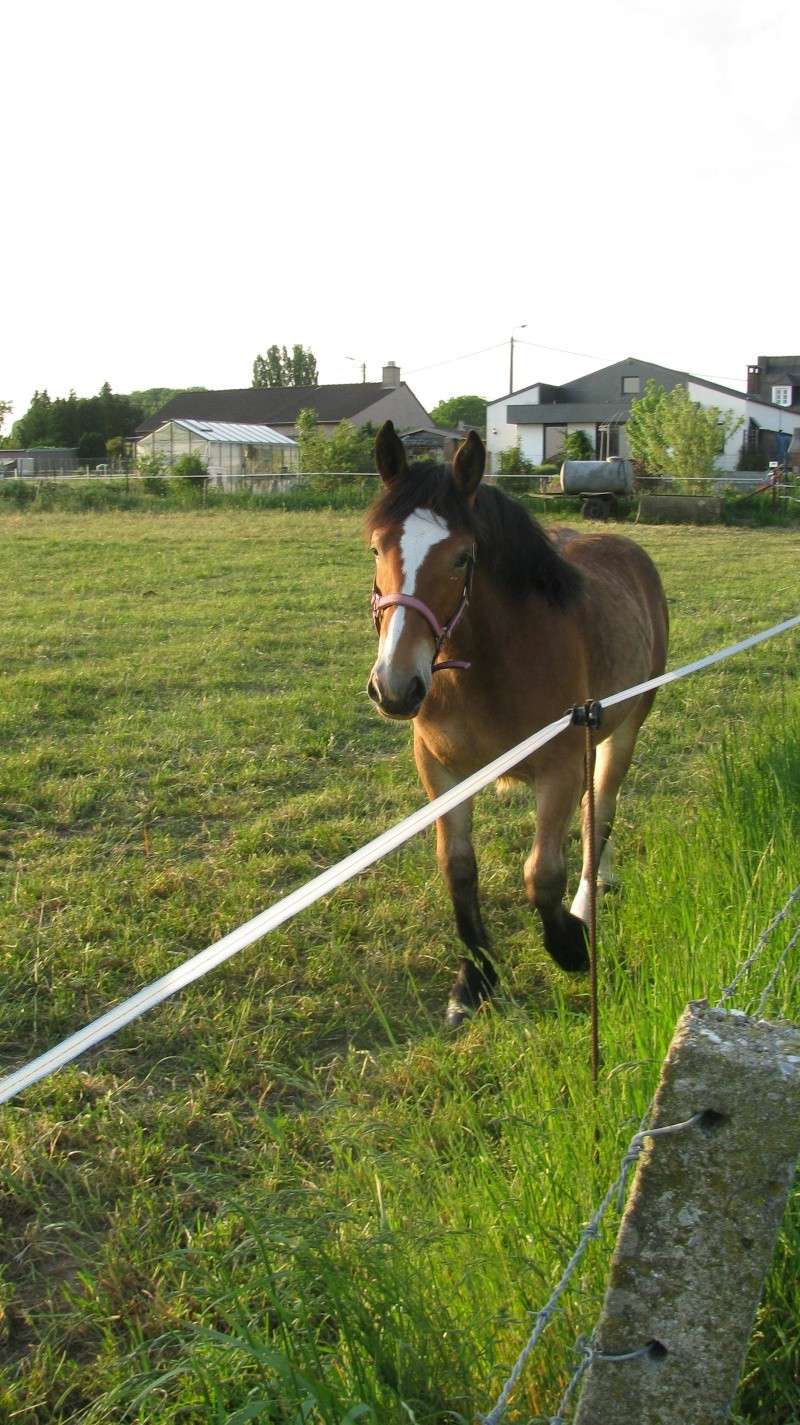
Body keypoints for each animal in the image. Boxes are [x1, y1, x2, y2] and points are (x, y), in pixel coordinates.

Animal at [365, 416, 664, 1031]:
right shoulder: (442, 772)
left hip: (624, 730)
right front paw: (473, 980)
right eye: (377, 546)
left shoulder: (557, 768)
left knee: (602, 811)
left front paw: (571, 945)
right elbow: (457, 868)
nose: (396, 688)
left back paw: (588, 900)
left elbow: (541, 875)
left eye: (461, 557)